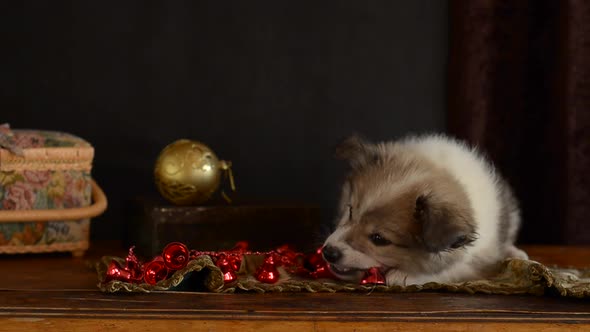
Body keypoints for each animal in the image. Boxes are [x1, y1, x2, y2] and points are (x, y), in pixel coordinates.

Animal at [324, 134, 528, 286]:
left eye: (379, 239)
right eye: (350, 211)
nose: (328, 252)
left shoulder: (475, 262)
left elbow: (449, 269)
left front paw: (402, 275)